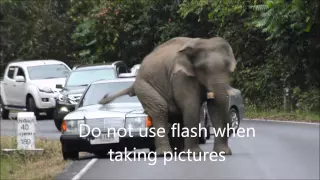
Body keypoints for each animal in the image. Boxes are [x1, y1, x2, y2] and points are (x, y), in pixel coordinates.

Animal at [100, 36, 238, 156]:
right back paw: (166, 153)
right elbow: (191, 107)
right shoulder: (181, 76)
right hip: (144, 87)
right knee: (160, 109)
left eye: (228, 68)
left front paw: (223, 153)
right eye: (203, 69)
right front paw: (195, 154)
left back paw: (179, 153)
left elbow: (215, 107)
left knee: (177, 116)